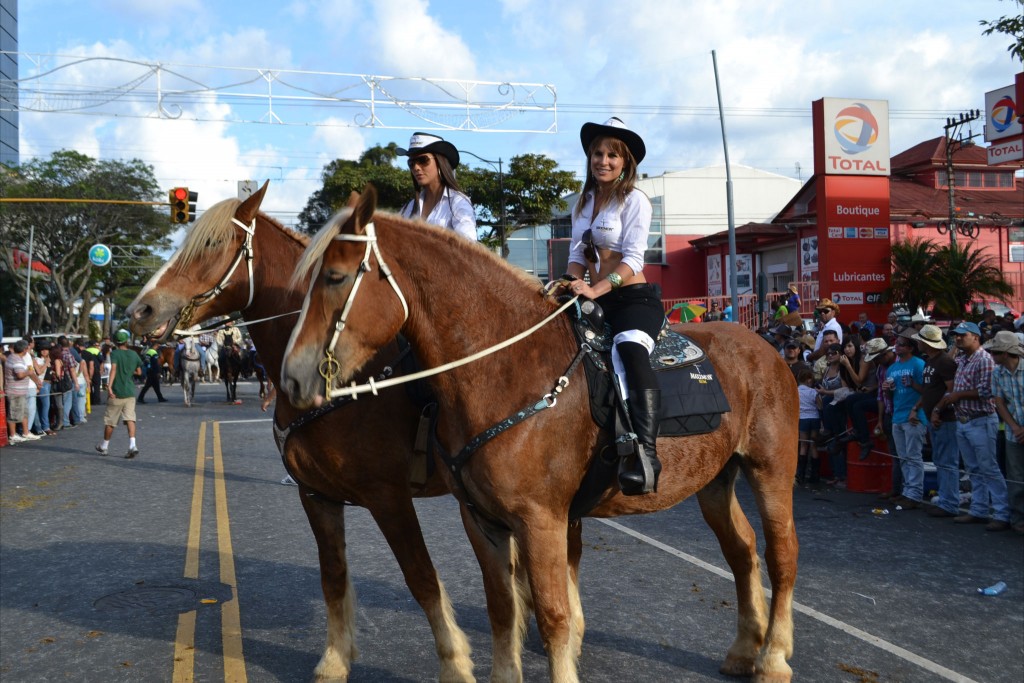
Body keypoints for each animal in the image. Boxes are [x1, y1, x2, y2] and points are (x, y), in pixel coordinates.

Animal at [122, 184, 495, 679]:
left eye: (211, 244)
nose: (139, 310)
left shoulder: (388, 496)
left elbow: (421, 577)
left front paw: (454, 662)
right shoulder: (316, 494)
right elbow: (333, 576)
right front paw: (335, 659)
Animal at [280, 187, 798, 683]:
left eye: (335, 277)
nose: (293, 378)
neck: (505, 368)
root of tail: (762, 345)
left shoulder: (539, 519)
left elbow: (552, 616)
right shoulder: (481, 519)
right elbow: (503, 609)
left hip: (771, 471)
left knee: (780, 556)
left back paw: (773, 658)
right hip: (716, 480)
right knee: (742, 551)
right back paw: (743, 650)